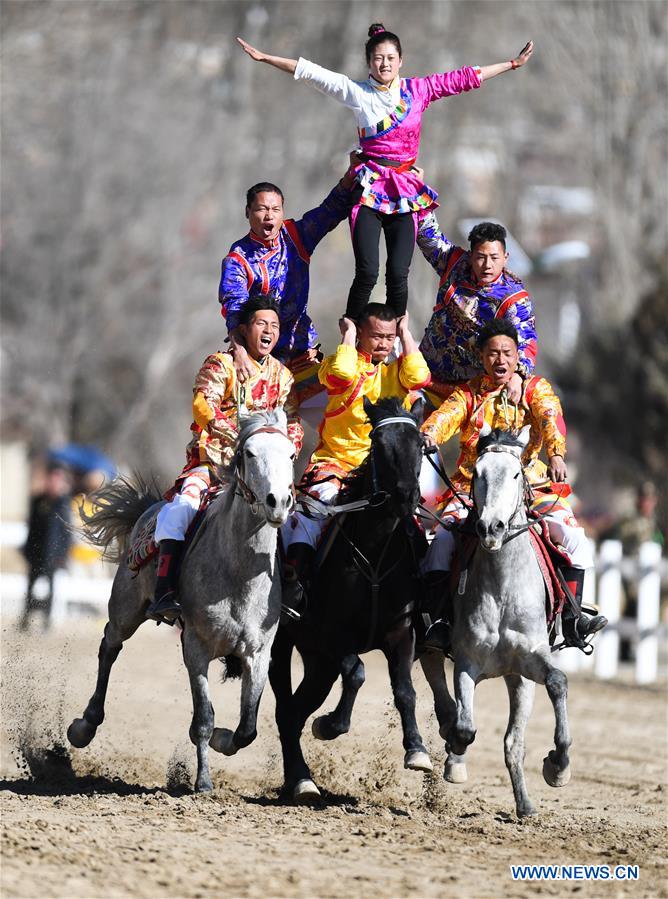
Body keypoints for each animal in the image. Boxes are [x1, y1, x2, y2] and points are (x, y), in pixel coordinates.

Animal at [67, 412, 294, 792]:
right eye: (248, 453)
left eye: (292, 454)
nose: (278, 501)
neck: (238, 576)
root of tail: (149, 509)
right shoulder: (196, 648)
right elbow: (203, 719)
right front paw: (202, 781)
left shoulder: (259, 654)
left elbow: (246, 728)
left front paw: (222, 739)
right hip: (126, 610)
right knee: (109, 646)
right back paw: (83, 726)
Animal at [268, 398, 430, 800]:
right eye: (380, 444)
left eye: (420, 445)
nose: (407, 497)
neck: (374, 555)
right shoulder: (332, 635)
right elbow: (356, 672)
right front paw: (329, 725)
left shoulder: (400, 631)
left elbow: (405, 690)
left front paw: (417, 750)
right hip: (283, 644)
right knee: (285, 709)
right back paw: (302, 778)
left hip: (318, 662)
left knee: (294, 711)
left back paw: (299, 779)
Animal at [422, 426, 576, 820]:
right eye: (477, 473)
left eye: (517, 474)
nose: (491, 526)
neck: (503, 587)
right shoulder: (467, 662)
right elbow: (464, 725)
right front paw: (455, 759)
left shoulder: (530, 662)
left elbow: (556, 683)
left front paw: (557, 766)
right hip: (431, 650)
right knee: (441, 692)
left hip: (516, 677)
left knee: (512, 740)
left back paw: (525, 802)